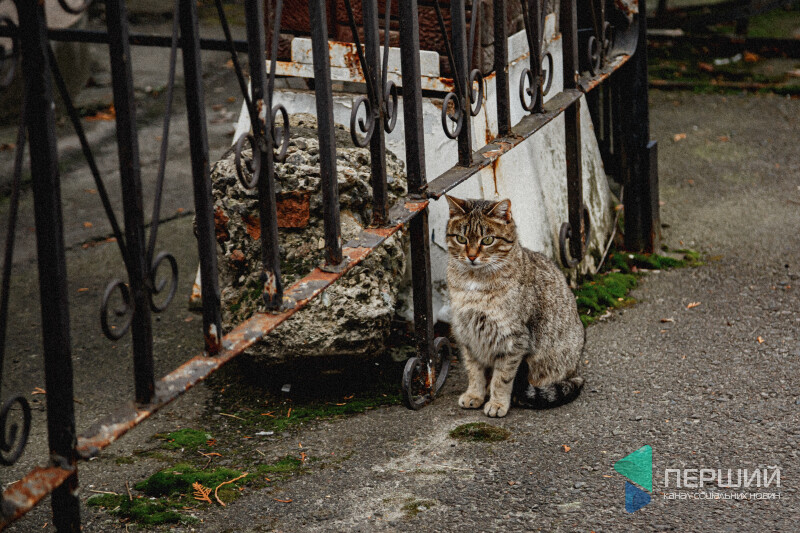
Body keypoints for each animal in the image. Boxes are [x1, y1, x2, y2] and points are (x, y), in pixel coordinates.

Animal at [445, 195, 585, 418]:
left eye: (487, 240)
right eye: (461, 239)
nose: (472, 256)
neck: (473, 282)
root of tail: (577, 369)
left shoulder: (513, 339)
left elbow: (502, 378)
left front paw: (497, 403)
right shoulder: (467, 335)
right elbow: (474, 371)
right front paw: (474, 394)